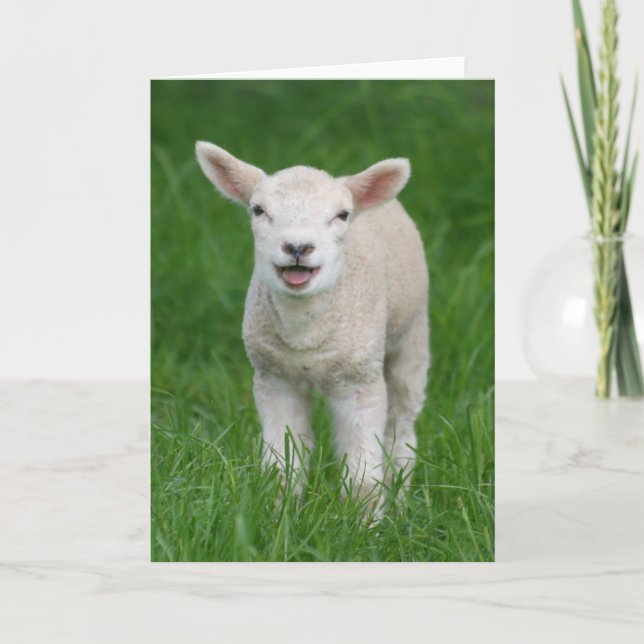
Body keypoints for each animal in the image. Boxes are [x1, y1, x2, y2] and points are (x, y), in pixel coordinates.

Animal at [195, 141, 430, 503]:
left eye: (342, 215)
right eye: (258, 210)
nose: (297, 247)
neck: (303, 333)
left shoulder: (360, 382)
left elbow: (363, 479)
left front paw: (363, 519)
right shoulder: (276, 379)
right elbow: (281, 468)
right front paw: (279, 511)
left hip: (412, 336)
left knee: (402, 428)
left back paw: (401, 497)